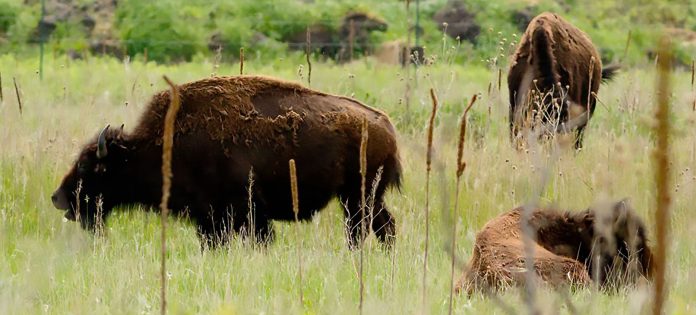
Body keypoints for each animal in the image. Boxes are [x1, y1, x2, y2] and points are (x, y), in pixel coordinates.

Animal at [50, 76, 402, 249]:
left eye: (88, 167)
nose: (57, 198)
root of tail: (386, 124)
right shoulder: (211, 218)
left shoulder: (244, 212)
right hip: (362, 198)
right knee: (382, 227)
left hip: (358, 197)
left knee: (363, 229)